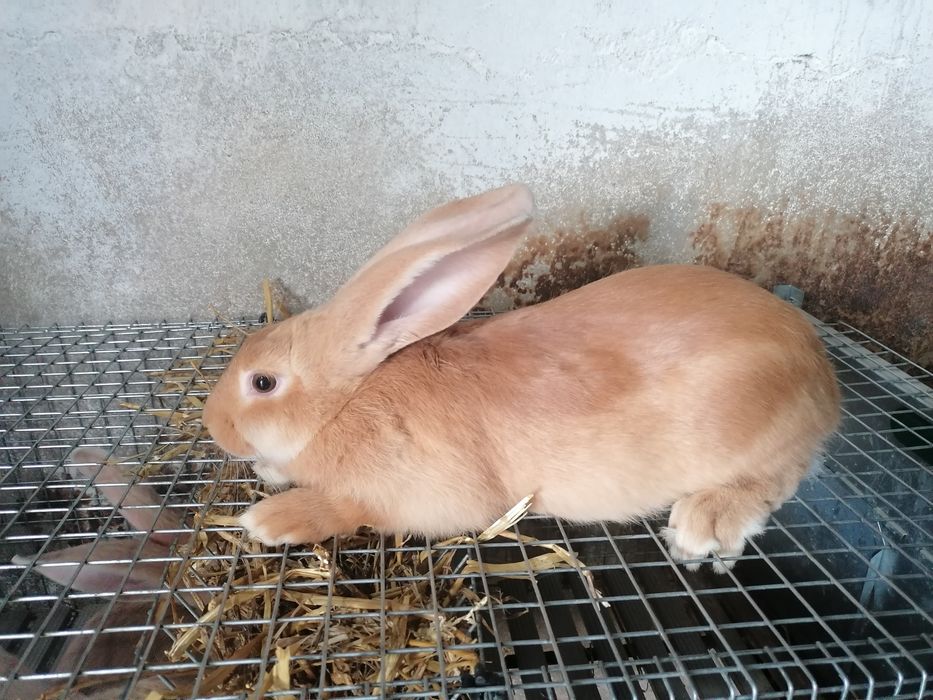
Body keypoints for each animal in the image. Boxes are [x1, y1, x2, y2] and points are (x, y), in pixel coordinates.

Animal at [201, 183, 840, 573]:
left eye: (263, 383)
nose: (212, 426)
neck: (350, 400)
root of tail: (819, 371)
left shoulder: (423, 496)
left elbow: (350, 507)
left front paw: (270, 520)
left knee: (778, 477)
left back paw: (700, 528)